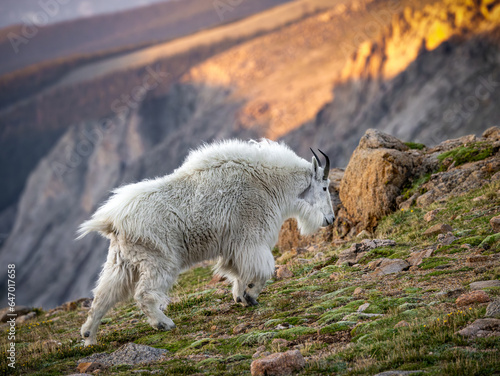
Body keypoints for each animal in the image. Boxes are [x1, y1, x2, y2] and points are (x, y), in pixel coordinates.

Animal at [78, 138, 334, 344]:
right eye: (324, 186)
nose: (330, 219)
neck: (268, 182)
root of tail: (114, 220)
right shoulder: (251, 237)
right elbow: (263, 270)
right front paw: (251, 296)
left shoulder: (235, 245)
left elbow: (237, 271)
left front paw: (240, 297)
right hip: (158, 259)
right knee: (144, 294)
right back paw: (163, 323)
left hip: (123, 260)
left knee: (103, 296)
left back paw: (89, 337)